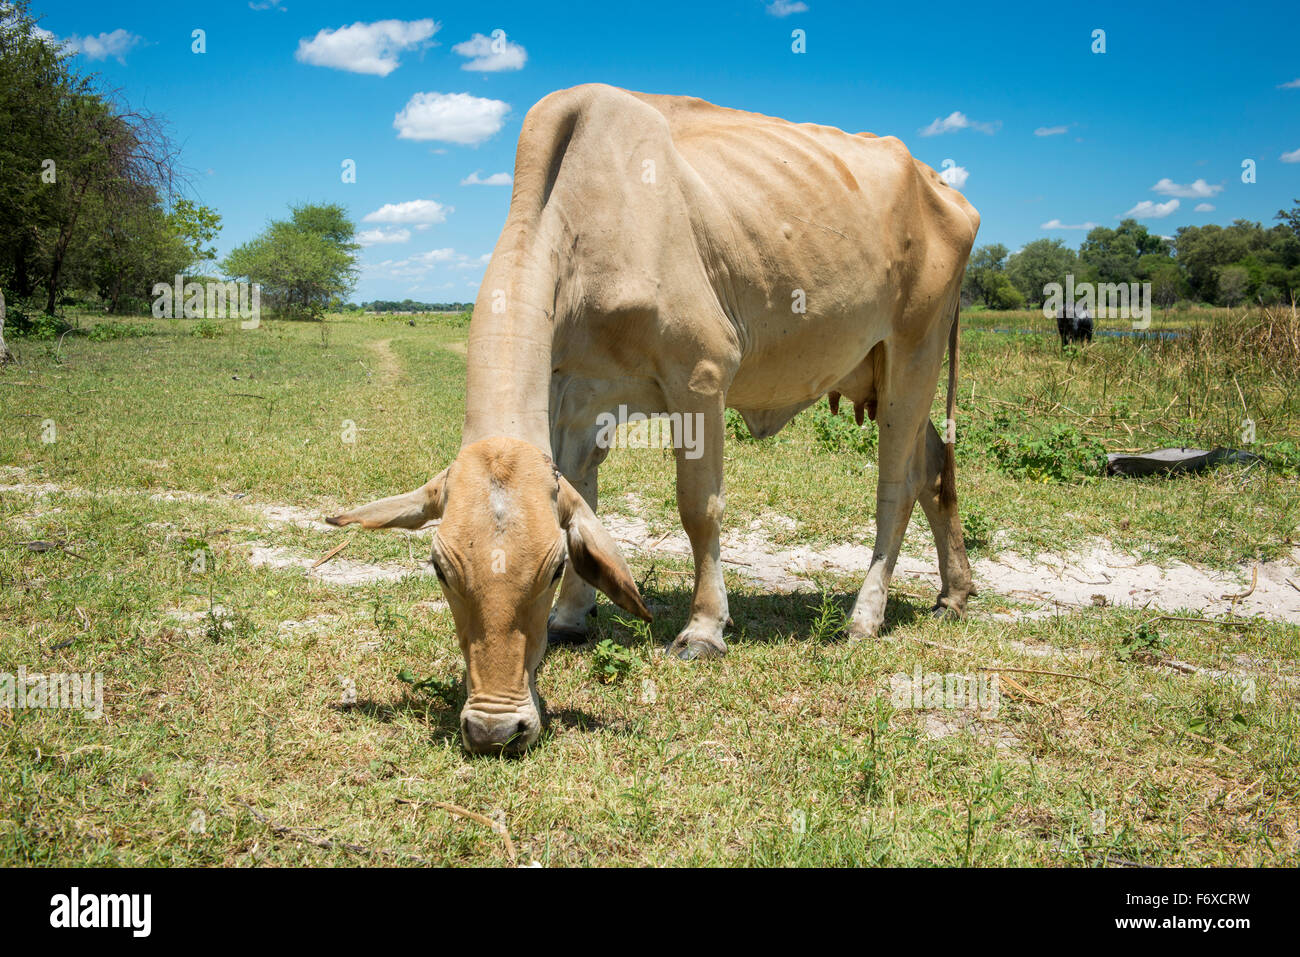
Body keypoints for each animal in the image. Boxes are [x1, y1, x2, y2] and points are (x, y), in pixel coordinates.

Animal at [330, 82, 977, 754]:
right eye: (439, 568)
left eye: (550, 567)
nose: (494, 727)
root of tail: (940, 185)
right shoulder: (574, 394)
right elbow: (582, 495)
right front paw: (572, 616)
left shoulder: (702, 375)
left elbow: (699, 509)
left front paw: (704, 629)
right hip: (880, 371)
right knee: (934, 470)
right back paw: (954, 592)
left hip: (915, 352)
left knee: (896, 487)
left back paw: (865, 615)